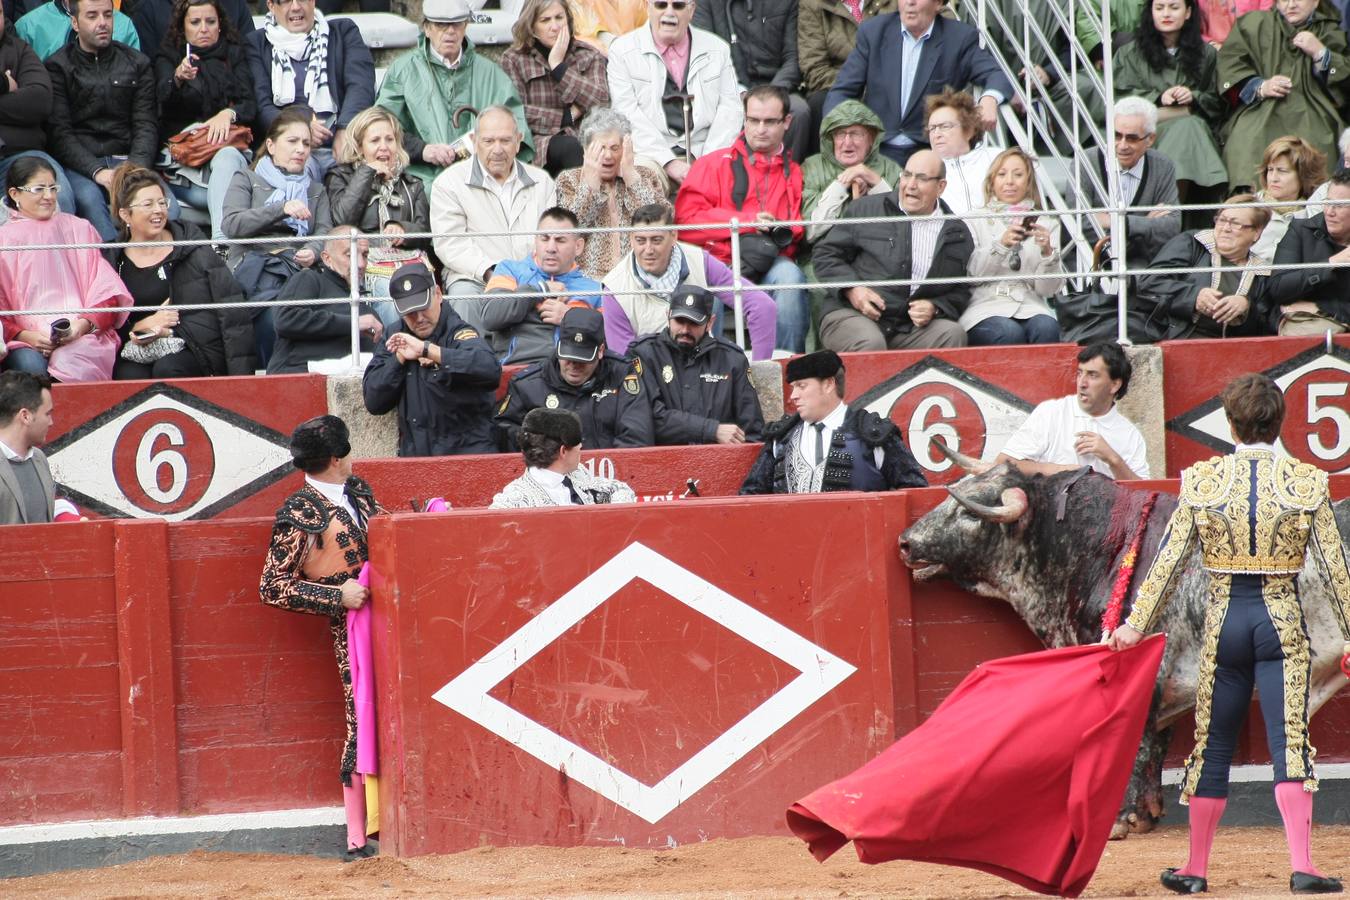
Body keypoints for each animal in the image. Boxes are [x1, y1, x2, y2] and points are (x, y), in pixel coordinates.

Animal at [896, 447, 1350, 841]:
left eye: (968, 513)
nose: (905, 542)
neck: (1105, 549)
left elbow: (1135, 742)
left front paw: (1120, 819)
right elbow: (1156, 742)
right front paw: (1147, 813)